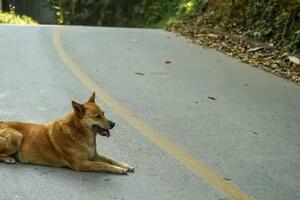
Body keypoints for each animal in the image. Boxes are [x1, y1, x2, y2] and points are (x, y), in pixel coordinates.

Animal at [0, 92, 134, 173]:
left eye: (103, 114)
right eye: (97, 117)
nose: (113, 124)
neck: (78, 132)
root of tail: (2, 122)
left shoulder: (94, 156)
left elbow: (110, 159)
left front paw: (125, 165)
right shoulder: (81, 164)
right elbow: (103, 165)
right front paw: (119, 169)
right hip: (17, 136)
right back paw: (8, 159)